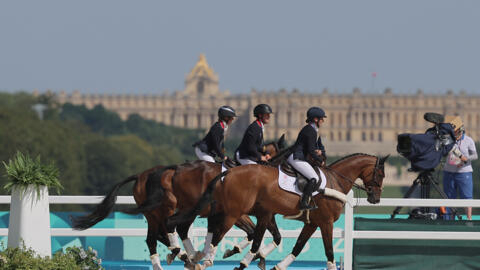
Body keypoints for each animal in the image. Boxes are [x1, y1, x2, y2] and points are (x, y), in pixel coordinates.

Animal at [71, 137, 288, 270]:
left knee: (156, 237)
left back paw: (179, 258)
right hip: (173, 209)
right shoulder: (237, 214)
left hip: (157, 213)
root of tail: (142, 175)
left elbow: (263, 235)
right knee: (169, 231)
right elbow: (251, 233)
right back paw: (184, 256)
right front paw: (231, 252)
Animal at [170, 153, 390, 268]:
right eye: (380, 174)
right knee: (208, 233)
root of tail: (228, 173)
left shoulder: (311, 223)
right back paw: (199, 258)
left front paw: (276, 264)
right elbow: (329, 251)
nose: (376, 198)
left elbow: (296, 246)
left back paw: (190, 256)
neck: (334, 182)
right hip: (230, 213)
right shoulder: (325, 223)